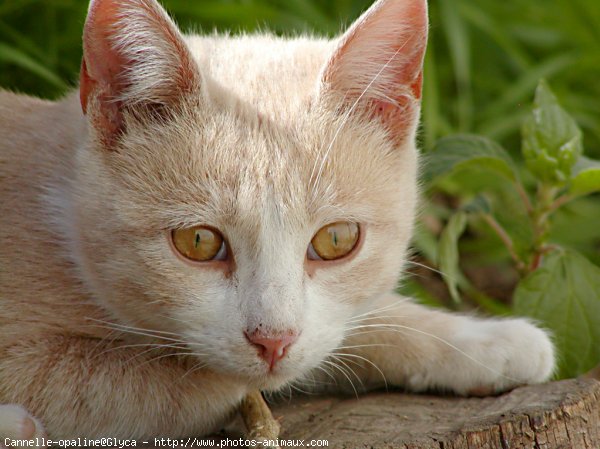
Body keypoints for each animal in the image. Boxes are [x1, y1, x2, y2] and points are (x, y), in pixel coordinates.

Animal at [0, 0, 556, 440]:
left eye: (337, 240)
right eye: (198, 242)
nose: (274, 340)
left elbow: (339, 335)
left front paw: (481, 343)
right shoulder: (35, 364)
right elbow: (173, 384)